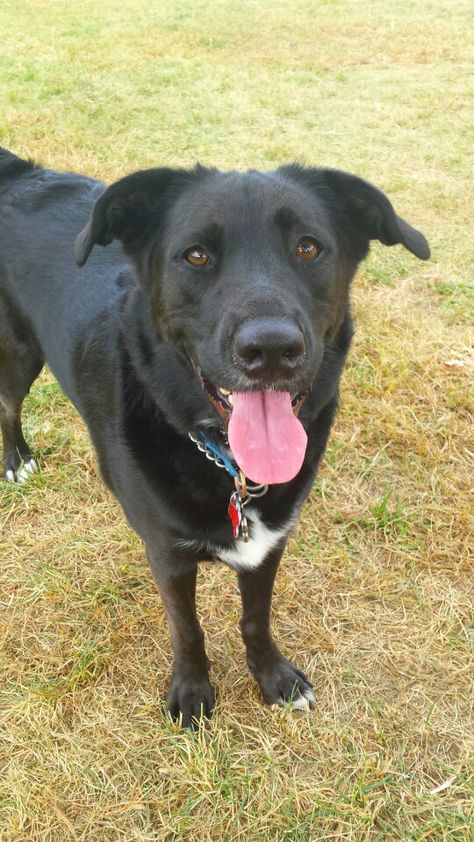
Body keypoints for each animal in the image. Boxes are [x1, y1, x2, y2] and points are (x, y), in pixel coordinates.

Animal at [0, 149, 430, 720]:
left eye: (308, 247)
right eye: (197, 255)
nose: (271, 349)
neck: (229, 467)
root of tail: (21, 173)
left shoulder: (269, 544)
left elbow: (255, 618)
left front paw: (273, 677)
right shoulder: (168, 554)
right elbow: (187, 630)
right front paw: (191, 691)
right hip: (19, 352)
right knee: (7, 403)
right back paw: (16, 460)